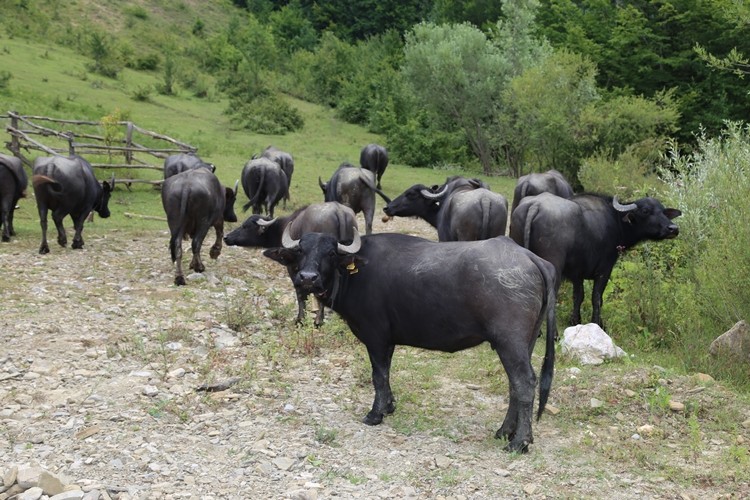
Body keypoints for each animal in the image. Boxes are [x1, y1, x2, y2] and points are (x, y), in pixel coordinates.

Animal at [223, 201, 358, 326]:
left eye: (245, 226)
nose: (226, 237)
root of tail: (338, 211)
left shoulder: (294, 269)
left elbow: (300, 294)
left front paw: (300, 320)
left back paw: (319, 321)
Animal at [264, 229, 560, 454]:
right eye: (301, 251)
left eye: (331, 253)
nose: (307, 278)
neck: (355, 275)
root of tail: (529, 256)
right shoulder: (388, 341)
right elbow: (386, 373)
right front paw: (389, 406)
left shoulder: (375, 336)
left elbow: (378, 375)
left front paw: (375, 414)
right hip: (523, 343)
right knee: (515, 385)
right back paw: (504, 431)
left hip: (510, 342)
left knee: (524, 383)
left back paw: (520, 442)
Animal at [512, 192, 680, 328]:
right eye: (645, 211)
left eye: (663, 211)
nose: (673, 228)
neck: (615, 221)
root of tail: (535, 205)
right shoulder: (604, 270)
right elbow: (597, 298)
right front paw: (598, 323)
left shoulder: (577, 274)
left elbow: (578, 296)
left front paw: (575, 321)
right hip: (554, 266)